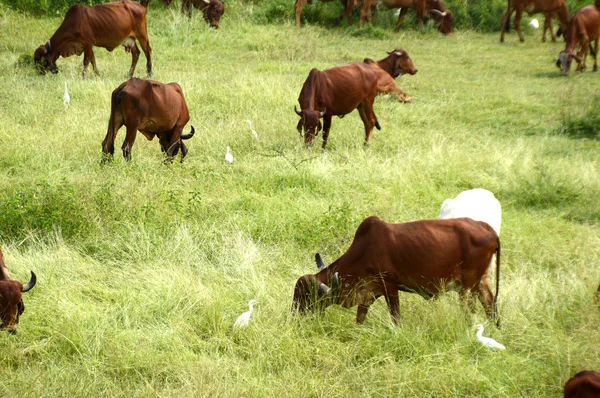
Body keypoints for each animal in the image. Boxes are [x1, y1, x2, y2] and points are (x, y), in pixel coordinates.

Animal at [290, 218, 502, 326]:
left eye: (307, 297)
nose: (293, 317)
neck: (365, 249)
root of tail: (490, 230)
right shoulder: (368, 292)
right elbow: (360, 318)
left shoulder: (389, 286)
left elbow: (395, 317)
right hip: (481, 283)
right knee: (490, 305)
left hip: (468, 287)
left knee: (470, 311)